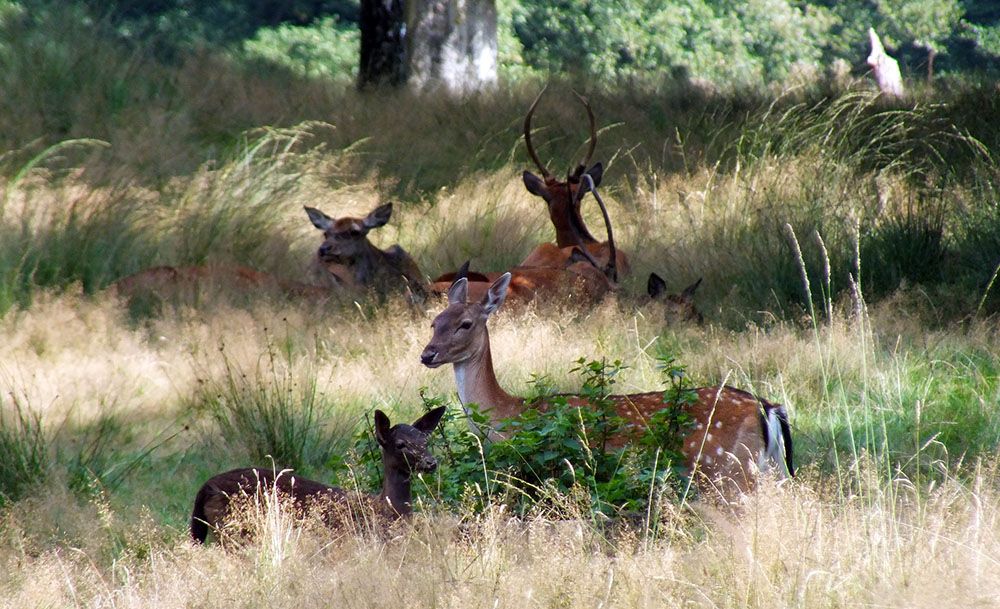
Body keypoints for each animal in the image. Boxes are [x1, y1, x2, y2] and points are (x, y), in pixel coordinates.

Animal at [190, 406, 446, 544]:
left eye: (425, 440)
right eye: (400, 444)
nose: (431, 462)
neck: (387, 509)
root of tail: (205, 488)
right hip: (233, 528)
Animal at [418, 274, 792, 494]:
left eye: (465, 324)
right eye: (434, 322)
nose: (427, 354)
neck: (507, 416)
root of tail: (767, 408)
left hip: (725, 468)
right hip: (770, 470)